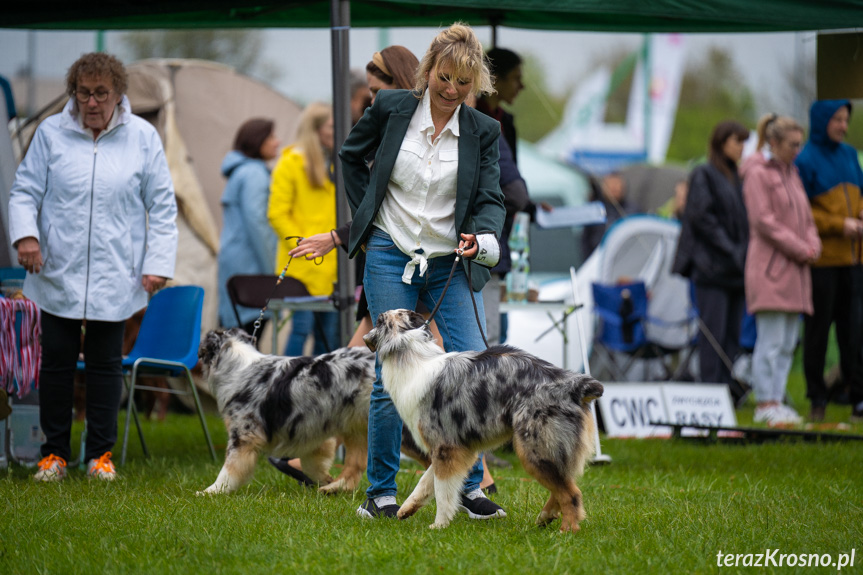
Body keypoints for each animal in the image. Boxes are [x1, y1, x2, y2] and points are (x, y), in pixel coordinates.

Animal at [362, 312, 600, 532]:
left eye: (379, 321)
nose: (366, 336)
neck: (409, 353)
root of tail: (574, 384)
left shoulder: (445, 447)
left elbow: (443, 491)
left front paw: (439, 525)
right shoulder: (456, 447)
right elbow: (427, 481)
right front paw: (407, 508)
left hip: (534, 448)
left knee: (571, 493)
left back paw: (566, 531)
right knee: (564, 484)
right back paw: (546, 517)